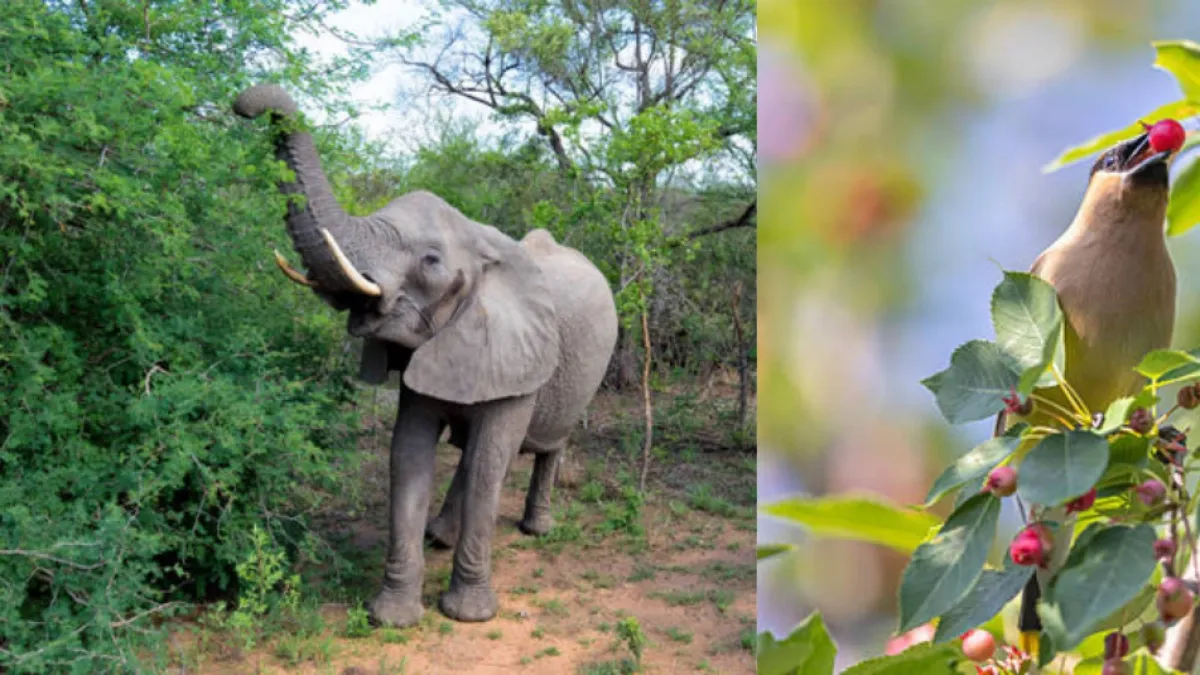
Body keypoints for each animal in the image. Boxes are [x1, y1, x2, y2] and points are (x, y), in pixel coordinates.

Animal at [232, 83, 619, 627]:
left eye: (431, 262)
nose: (243, 105)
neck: (482, 243)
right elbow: (409, 454)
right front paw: (392, 618)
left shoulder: (517, 357)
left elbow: (489, 462)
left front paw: (468, 615)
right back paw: (440, 535)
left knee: (543, 445)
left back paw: (535, 529)